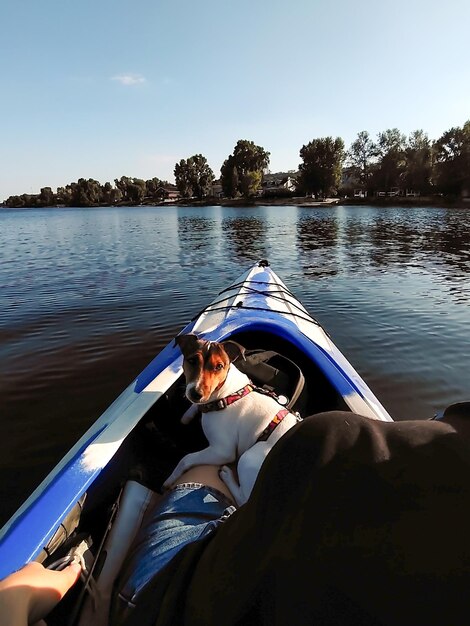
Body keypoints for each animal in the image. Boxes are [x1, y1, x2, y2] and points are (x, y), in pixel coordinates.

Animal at [162, 332, 302, 502]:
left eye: (219, 366)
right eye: (192, 361)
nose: (196, 393)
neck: (227, 394)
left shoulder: (222, 450)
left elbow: (186, 459)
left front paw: (171, 479)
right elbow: (196, 406)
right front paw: (188, 415)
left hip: (248, 458)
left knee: (243, 499)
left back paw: (227, 476)